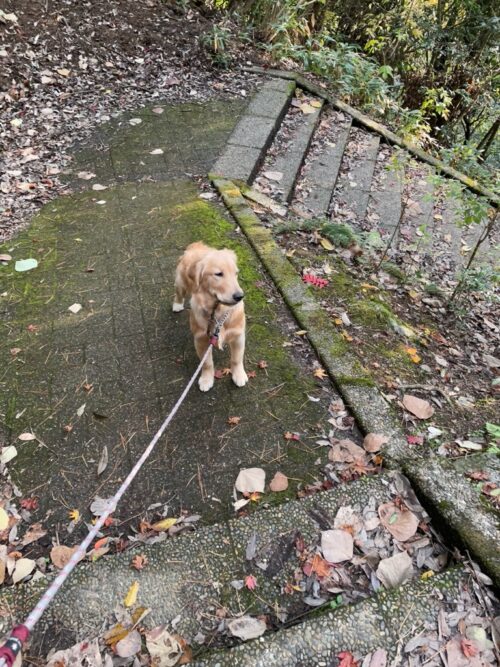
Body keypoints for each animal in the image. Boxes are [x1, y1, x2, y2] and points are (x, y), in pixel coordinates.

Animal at [173, 244, 249, 392]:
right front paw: (206, 379)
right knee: (178, 292)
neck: (218, 310)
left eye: (236, 273)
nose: (239, 296)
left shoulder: (238, 335)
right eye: (218, 274)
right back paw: (177, 304)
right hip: (181, 282)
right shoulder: (200, 339)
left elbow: (237, 359)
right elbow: (207, 363)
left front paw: (239, 375)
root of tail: (197, 245)